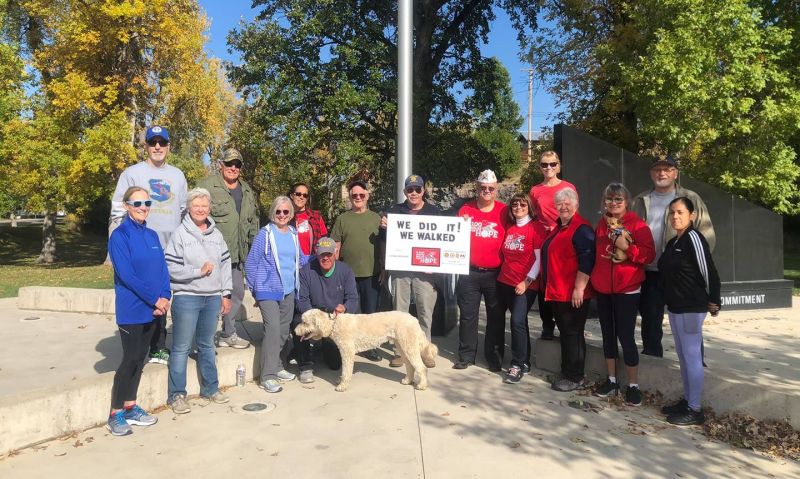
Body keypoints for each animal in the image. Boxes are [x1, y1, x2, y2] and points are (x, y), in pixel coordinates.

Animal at [296, 310, 440, 392]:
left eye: (305, 323)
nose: (295, 331)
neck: (333, 324)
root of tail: (413, 319)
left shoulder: (347, 352)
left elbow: (346, 371)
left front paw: (342, 386)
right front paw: (341, 381)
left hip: (409, 346)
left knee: (421, 367)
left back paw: (422, 386)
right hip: (401, 345)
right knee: (410, 365)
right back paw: (407, 380)